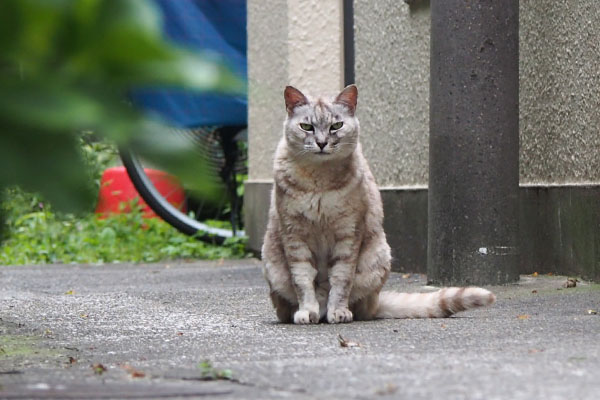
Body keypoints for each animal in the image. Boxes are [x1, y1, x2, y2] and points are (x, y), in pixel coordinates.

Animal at [260, 85, 494, 324]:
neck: (320, 180)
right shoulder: (294, 235)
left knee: (359, 306)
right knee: (286, 306)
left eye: (336, 125)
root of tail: (377, 303)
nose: (322, 143)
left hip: (376, 259)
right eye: (306, 126)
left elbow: (341, 280)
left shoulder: (349, 233)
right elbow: (303, 280)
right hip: (272, 264)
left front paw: (339, 311)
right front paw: (307, 311)